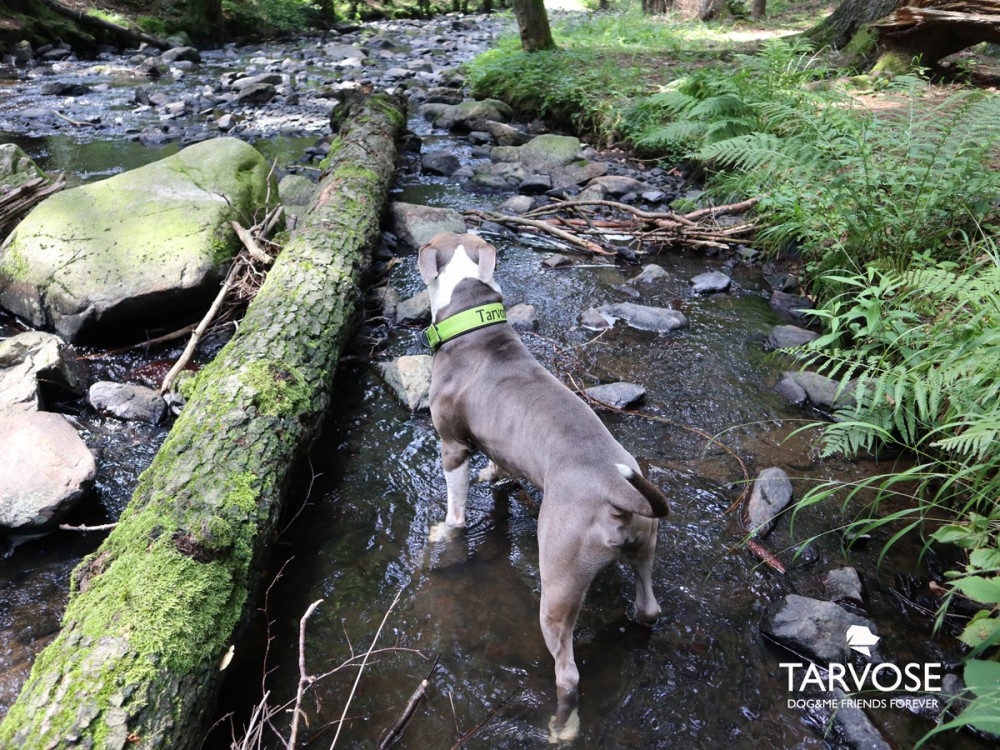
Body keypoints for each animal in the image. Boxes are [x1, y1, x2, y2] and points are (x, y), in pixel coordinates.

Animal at [418, 232, 668, 744]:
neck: (471, 320)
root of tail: (616, 491)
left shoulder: (452, 445)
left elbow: (455, 506)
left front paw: (445, 530)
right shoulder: (494, 440)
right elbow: (497, 464)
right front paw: (494, 477)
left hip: (558, 580)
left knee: (567, 672)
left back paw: (561, 728)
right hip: (645, 542)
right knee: (649, 604)